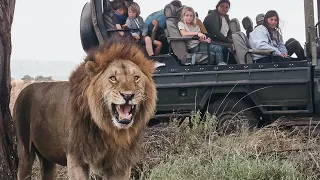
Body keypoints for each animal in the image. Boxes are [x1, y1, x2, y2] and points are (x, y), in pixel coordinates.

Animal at [12, 40, 158, 179]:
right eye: (113, 78)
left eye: (136, 78)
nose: (128, 95)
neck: (108, 129)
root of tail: (24, 89)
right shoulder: (76, 156)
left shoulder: (121, 162)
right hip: (25, 150)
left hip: (48, 158)